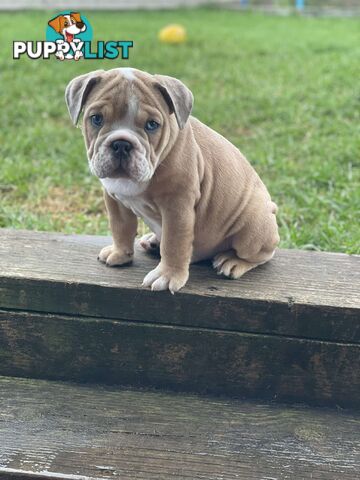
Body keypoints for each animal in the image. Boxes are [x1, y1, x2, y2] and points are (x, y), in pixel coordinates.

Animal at [64, 67, 280, 292]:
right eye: (96, 119)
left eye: (152, 125)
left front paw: (167, 275)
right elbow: (120, 227)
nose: (122, 144)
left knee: (262, 254)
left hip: (253, 228)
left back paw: (234, 261)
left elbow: (174, 243)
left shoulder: (177, 208)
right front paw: (120, 254)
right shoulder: (114, 199)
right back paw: (152, 241)